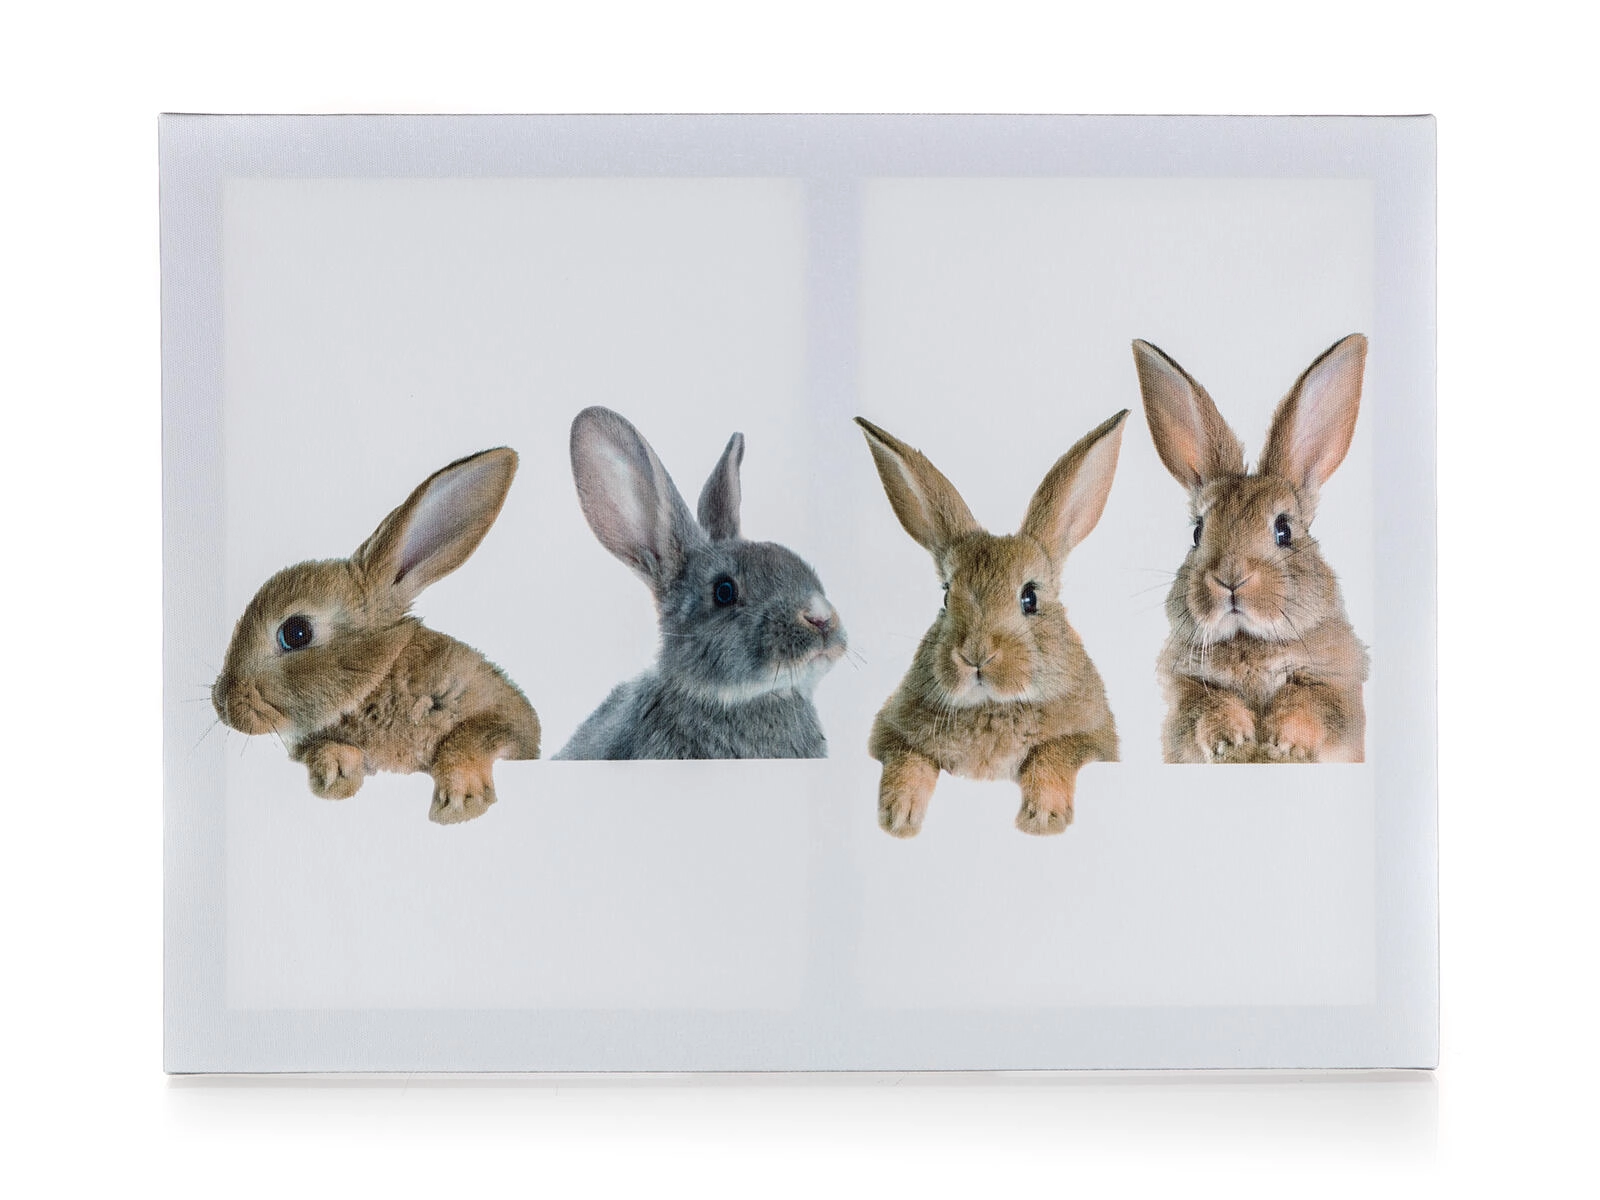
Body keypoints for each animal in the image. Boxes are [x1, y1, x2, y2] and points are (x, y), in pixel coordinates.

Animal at [211, 447, 541, 823]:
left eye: (296, 633)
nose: (223, 702)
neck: (380, 678)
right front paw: (334, 775)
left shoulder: (508, 716)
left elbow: (474, 735)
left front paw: (460, 801)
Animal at [855, 411, 1128, 837]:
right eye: (946, 596)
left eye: (1030, 597)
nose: (976, 656)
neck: (991, 707)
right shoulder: (891, 733)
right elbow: (908, 758)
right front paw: (898, 817)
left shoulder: (1093, 739)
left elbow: (1056, 751)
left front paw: (1042, 819)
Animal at [1131, 334, 1370, 764]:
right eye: (1198, 532)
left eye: (1283, 529)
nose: (1230, 579)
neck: (1250, 642)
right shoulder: (1187, 693)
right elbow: (1208, 706)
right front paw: (1232, 740)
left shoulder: (1335, 687)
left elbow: (1308, 703)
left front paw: (1283, 742)